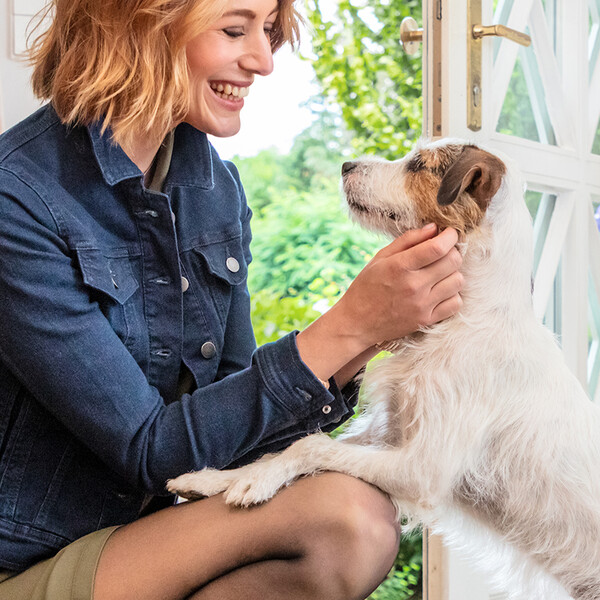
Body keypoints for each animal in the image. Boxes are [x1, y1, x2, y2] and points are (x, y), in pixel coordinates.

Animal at [168, 141, 600, 600]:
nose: (345, 165)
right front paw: (216, 480)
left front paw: (255, 482)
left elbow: (310, 446)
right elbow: (289, 446)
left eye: (419, 165)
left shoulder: (419, 468)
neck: (467, 317)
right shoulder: (388, 435)